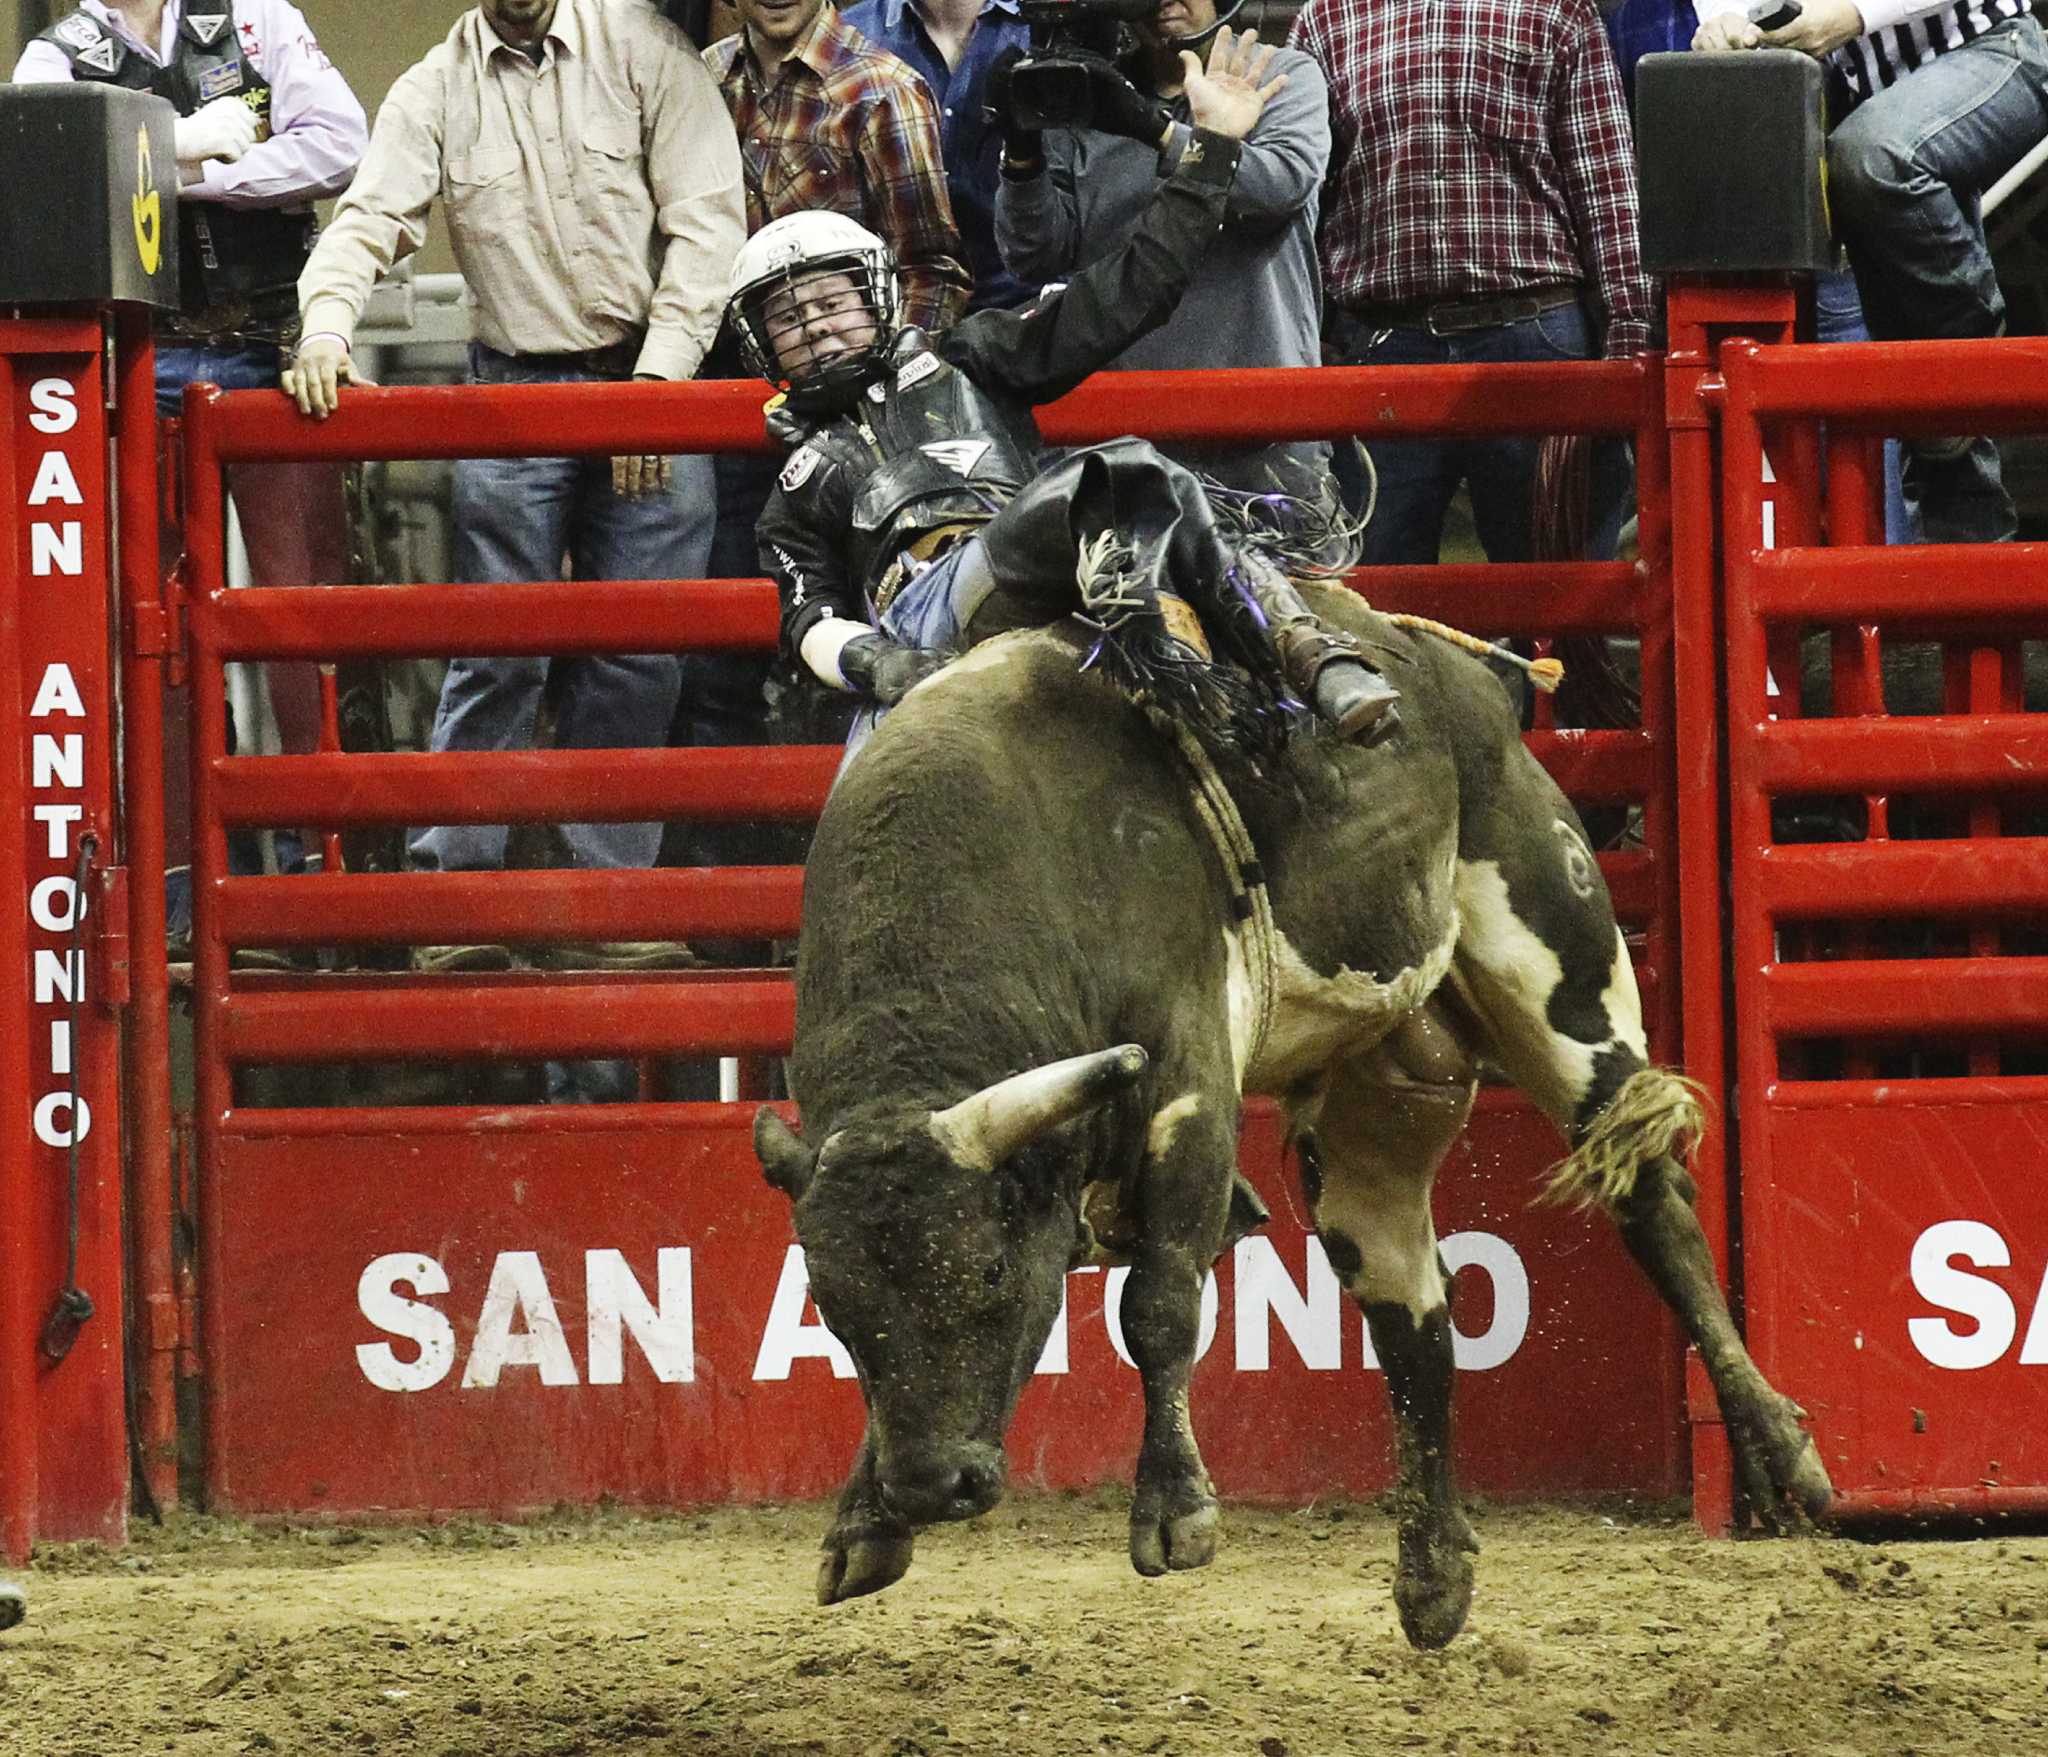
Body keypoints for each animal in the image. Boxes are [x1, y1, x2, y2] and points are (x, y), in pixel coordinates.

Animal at [757, 589, 1843, 1646]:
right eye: (832, 1308)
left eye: (987, 1272)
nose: (928, 1484)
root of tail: (1447, 667)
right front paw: (862, 1524)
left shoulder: (1188, 1082)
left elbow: (1157, 1303)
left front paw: (1175, 1509)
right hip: (1375, 1109)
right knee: (1412, 1309)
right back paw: (1432, 1570)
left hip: (1558, 960)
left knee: (1651, 1204)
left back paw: (1779, 1450)